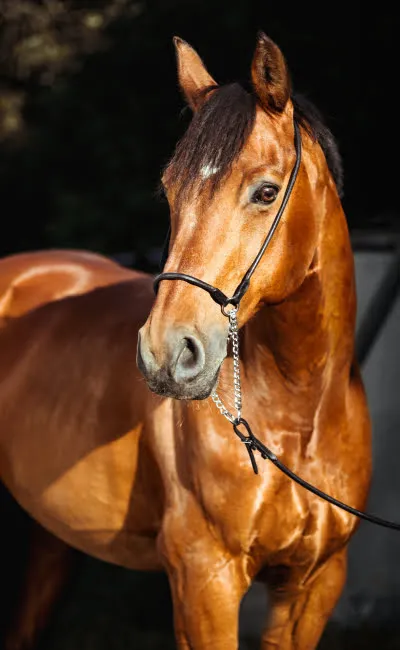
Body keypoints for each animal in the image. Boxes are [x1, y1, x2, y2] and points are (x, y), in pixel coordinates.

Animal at [0, 33, 371, 649]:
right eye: (170, 191)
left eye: (265, 191)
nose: (164, 353)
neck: (297, 416)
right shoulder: (205, 579)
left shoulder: (314, 585)